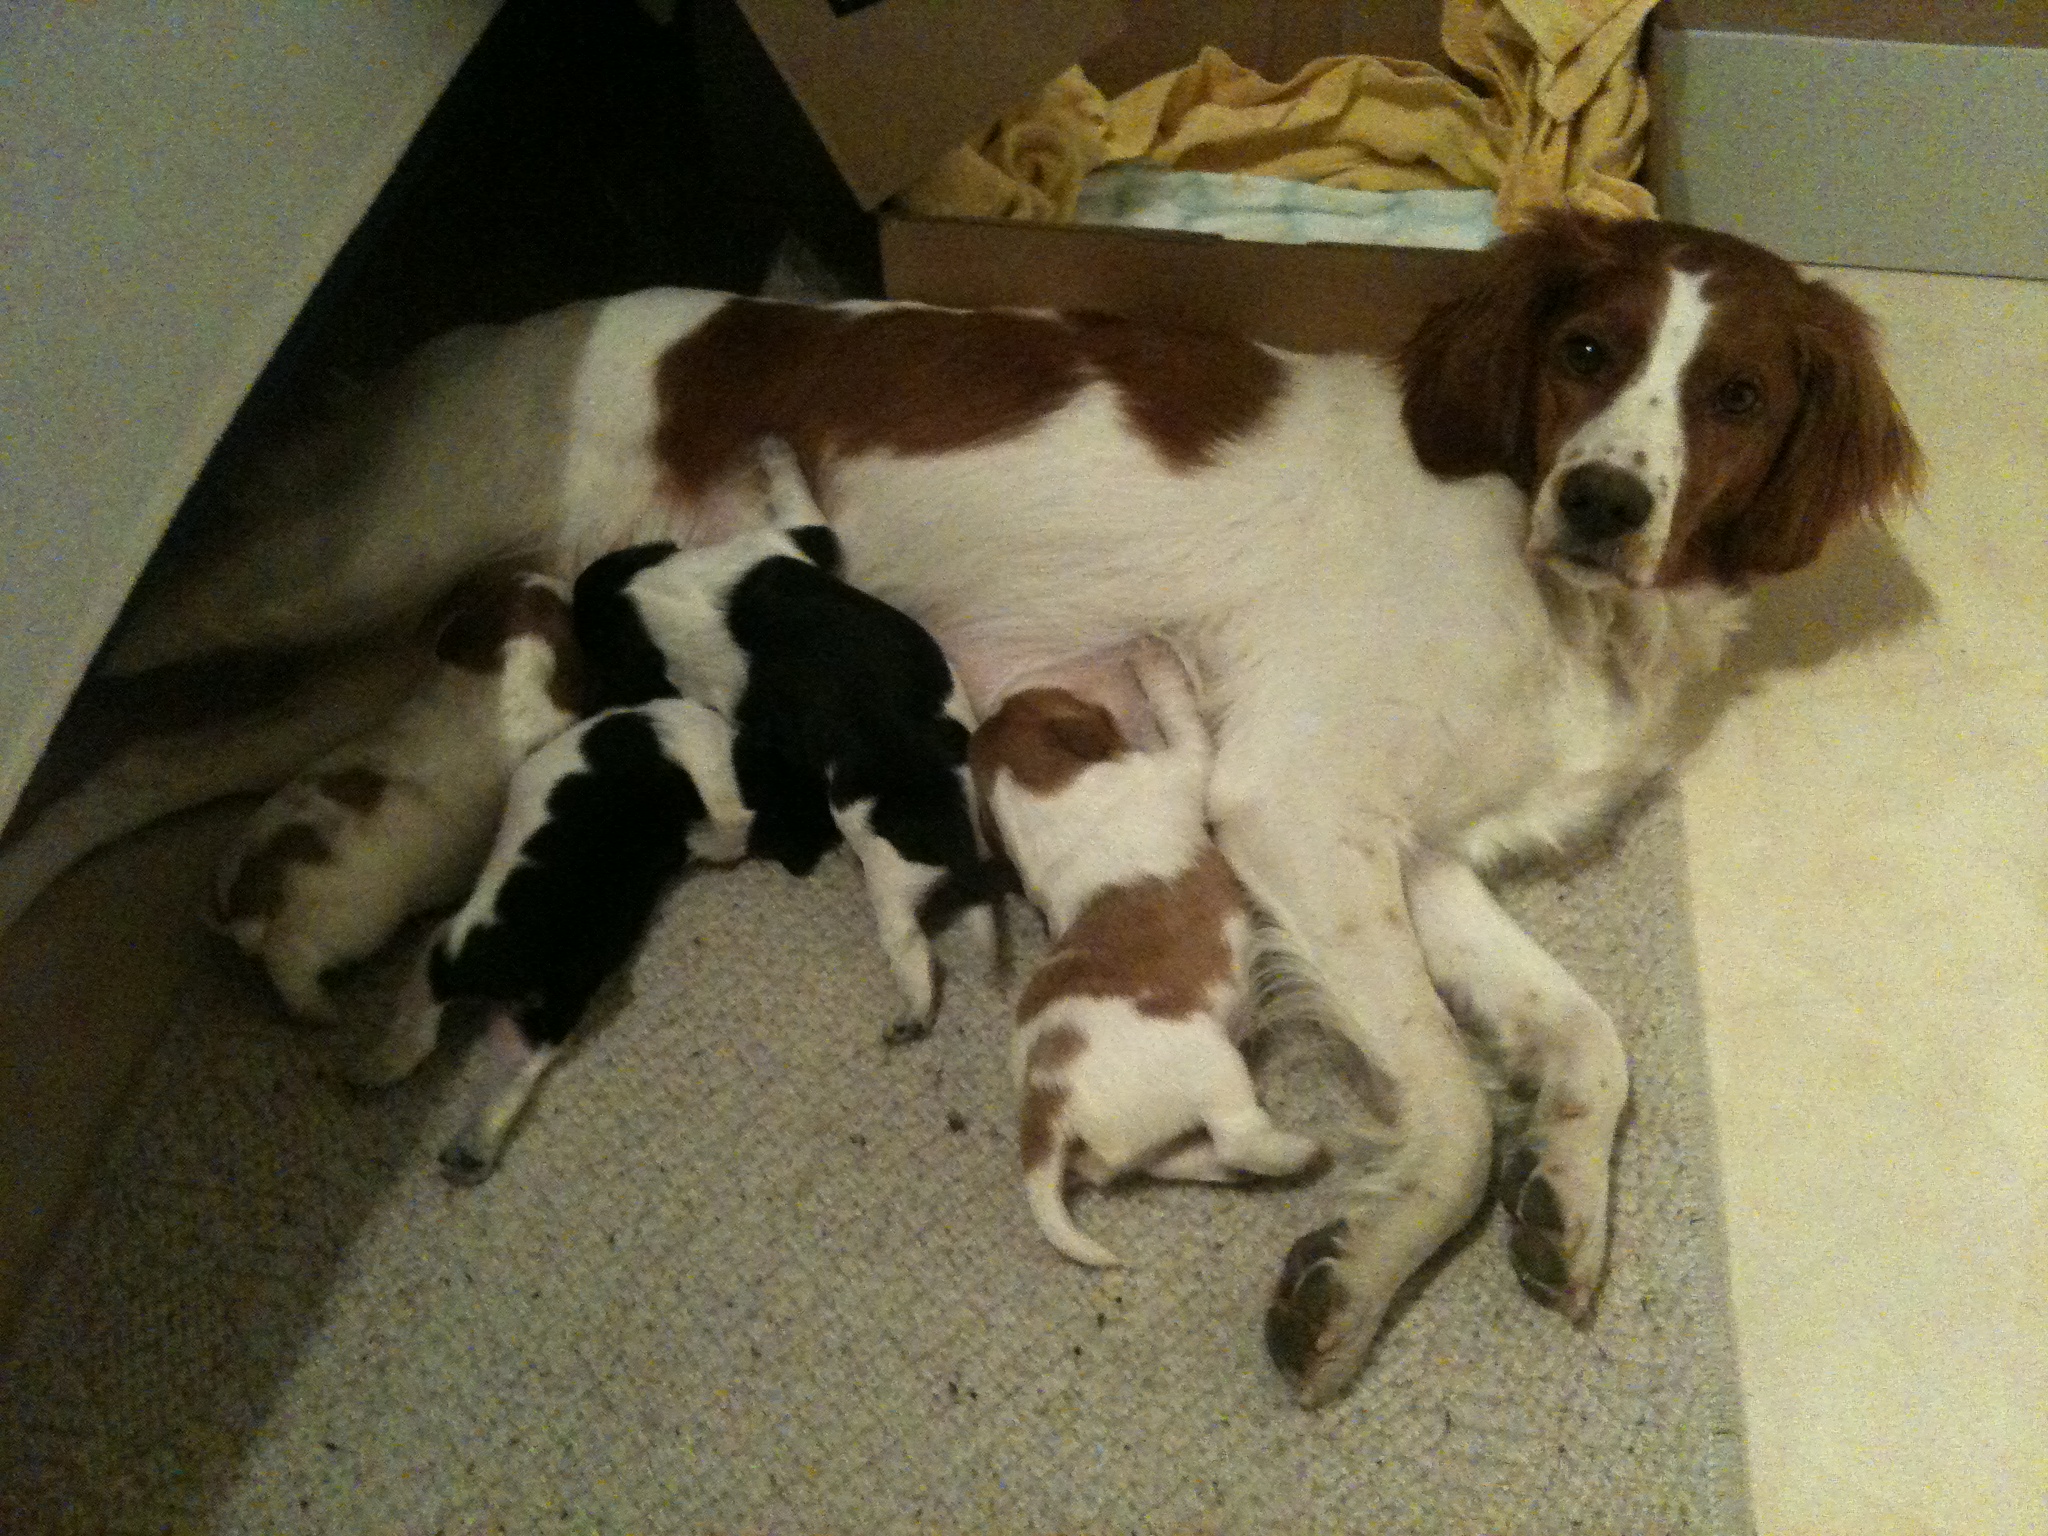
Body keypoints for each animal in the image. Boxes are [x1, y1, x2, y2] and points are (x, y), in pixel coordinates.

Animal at [209, 569, 581, 1022]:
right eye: (557, 603)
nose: (551, 575)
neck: (492, 669)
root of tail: (243, 902)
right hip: (348, 930)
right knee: (292, 971)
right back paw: (322, 1012)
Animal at [352, 695, 751, 1183]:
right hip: (539, 1021)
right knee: (521, 1072)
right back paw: (474, 1149)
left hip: (454, 946)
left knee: (424, 1016)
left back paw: (384, 1063)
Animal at [573, 437, 988, 1044]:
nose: (576, 584)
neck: (648, 596)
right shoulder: (791, 540)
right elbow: (796, 492)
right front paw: (775, 451)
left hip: (889, 878)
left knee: (913, 949)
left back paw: (910, 1013)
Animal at [973, 642, 1321, 1267]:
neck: (1037, 798)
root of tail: (1047, 1100)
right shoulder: (1182, 764)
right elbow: (1178, 713)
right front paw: (1152, 659)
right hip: (1208, 1058)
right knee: (1238, 1136)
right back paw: (1297, 1151)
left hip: (1141, 1138)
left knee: (1177, 1159)